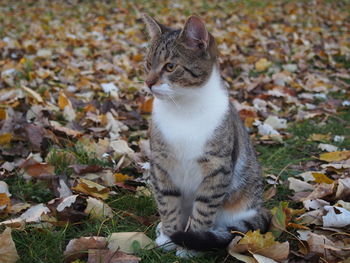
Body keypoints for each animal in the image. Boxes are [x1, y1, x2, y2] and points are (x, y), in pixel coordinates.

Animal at [142, 13, 270, 256]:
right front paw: (168, 236)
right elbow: (167, 203)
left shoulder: (217, 168)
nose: (148, 82)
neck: (183, 109)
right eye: (147, 64)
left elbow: (203, 209)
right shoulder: (161, 164)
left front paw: (189, 245)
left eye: (170, 66)